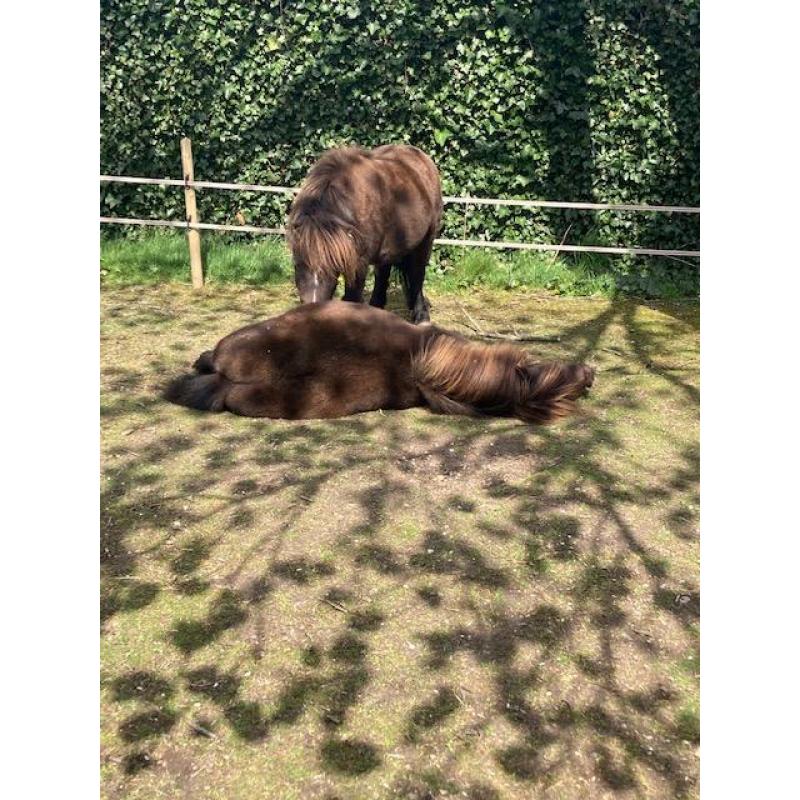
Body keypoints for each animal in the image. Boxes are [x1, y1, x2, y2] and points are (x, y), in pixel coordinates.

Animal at [286, 144, 442, 323]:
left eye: (331, 267)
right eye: (297, 263)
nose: (312, 309)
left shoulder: (359, 264)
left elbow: (351, 297)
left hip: (426, 242)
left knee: (417, 275)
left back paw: (421, 316)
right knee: (383, 275)